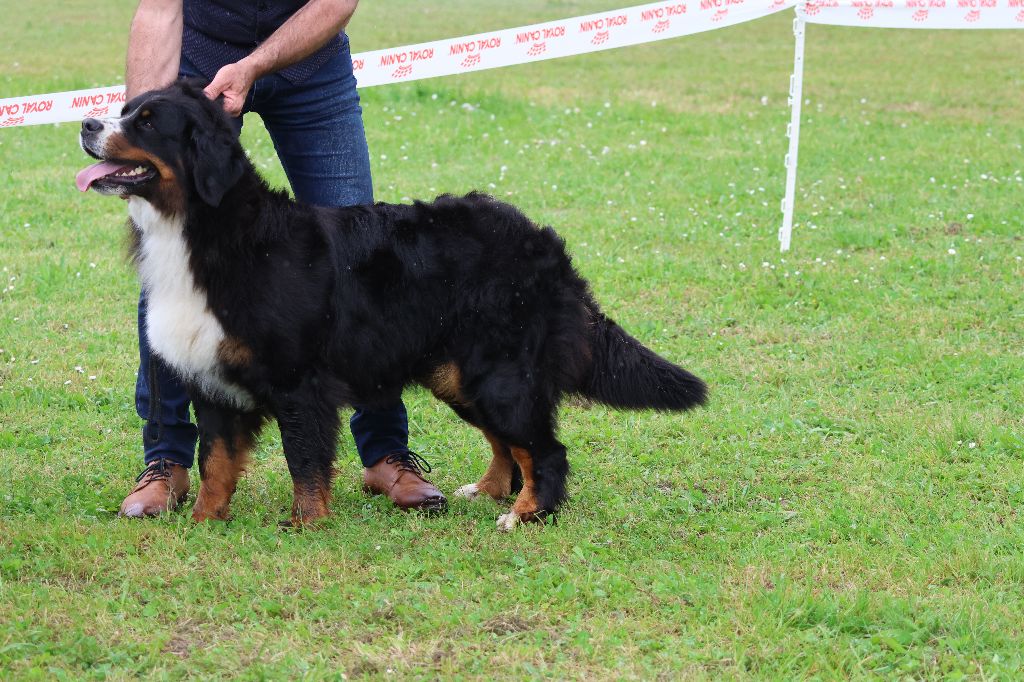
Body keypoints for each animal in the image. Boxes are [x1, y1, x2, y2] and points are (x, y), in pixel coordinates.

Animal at [77, 79, 704, 524]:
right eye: (127, 109)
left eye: (147, 122)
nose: (85, 122)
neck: (204, 232)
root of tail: (540, 239)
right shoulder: (212, 381)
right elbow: (215, 464)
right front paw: (206, 522)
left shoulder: (298, 383)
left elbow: (304, 461)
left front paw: (305, 525)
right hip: (459, 375)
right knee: (509, 444)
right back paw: (489, 492)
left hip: (502, 375)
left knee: (544, 450)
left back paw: (526, 515)